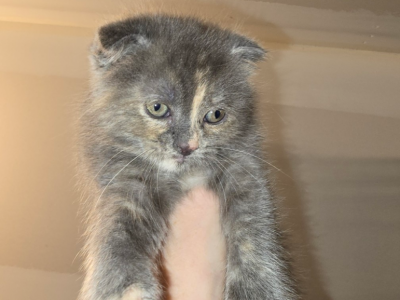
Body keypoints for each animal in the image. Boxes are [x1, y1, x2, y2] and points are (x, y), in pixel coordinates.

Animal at [79, 14, 296, 300]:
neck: (186, 176)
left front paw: (255, 289)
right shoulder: (122, 178)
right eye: (157, 108)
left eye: (216, 115)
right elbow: (118, 232)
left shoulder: (246, 168)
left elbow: (254, 225)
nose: (187, 146)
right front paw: (128, 288)